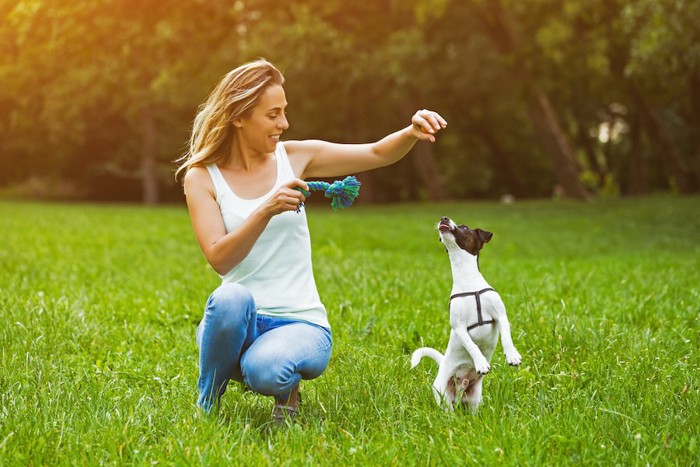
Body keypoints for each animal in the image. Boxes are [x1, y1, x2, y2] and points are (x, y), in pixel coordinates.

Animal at [410, 218, 520, 412]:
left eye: (464, 227)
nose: (443, 218)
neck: (468, 280)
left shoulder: (500, 315)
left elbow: (506, 337)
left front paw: (512, 355)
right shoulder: (459, 327)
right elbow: (472, 345)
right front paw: (481, 362)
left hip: (475, 398)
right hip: (443, 395)